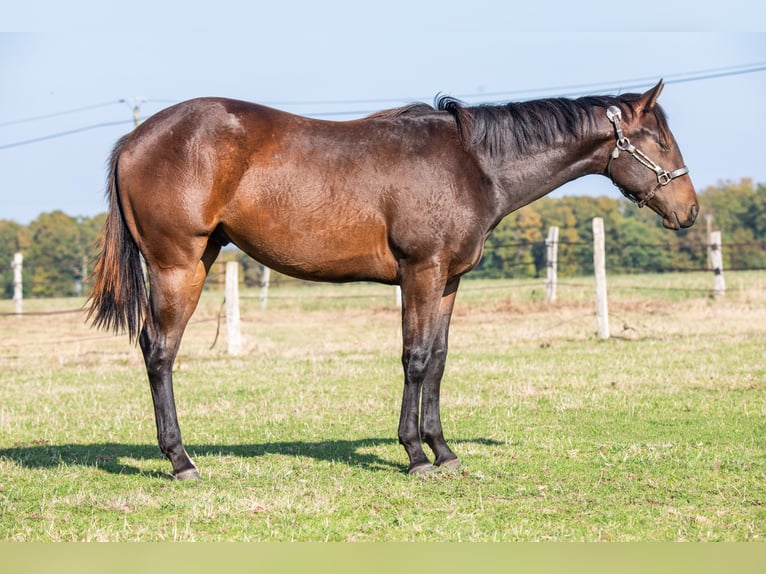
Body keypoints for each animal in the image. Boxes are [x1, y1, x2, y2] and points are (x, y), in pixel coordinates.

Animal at [88, 80, 697, 479]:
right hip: (178, 266)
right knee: (159, 351)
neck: (473, 164)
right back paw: (180, 461)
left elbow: (439, 359)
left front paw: (443, 450)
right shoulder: (420, 272)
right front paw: (415, 455)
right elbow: (416, 358)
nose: (689, 211)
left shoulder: (448, 281)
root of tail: (134, 139)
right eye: (662, 141)